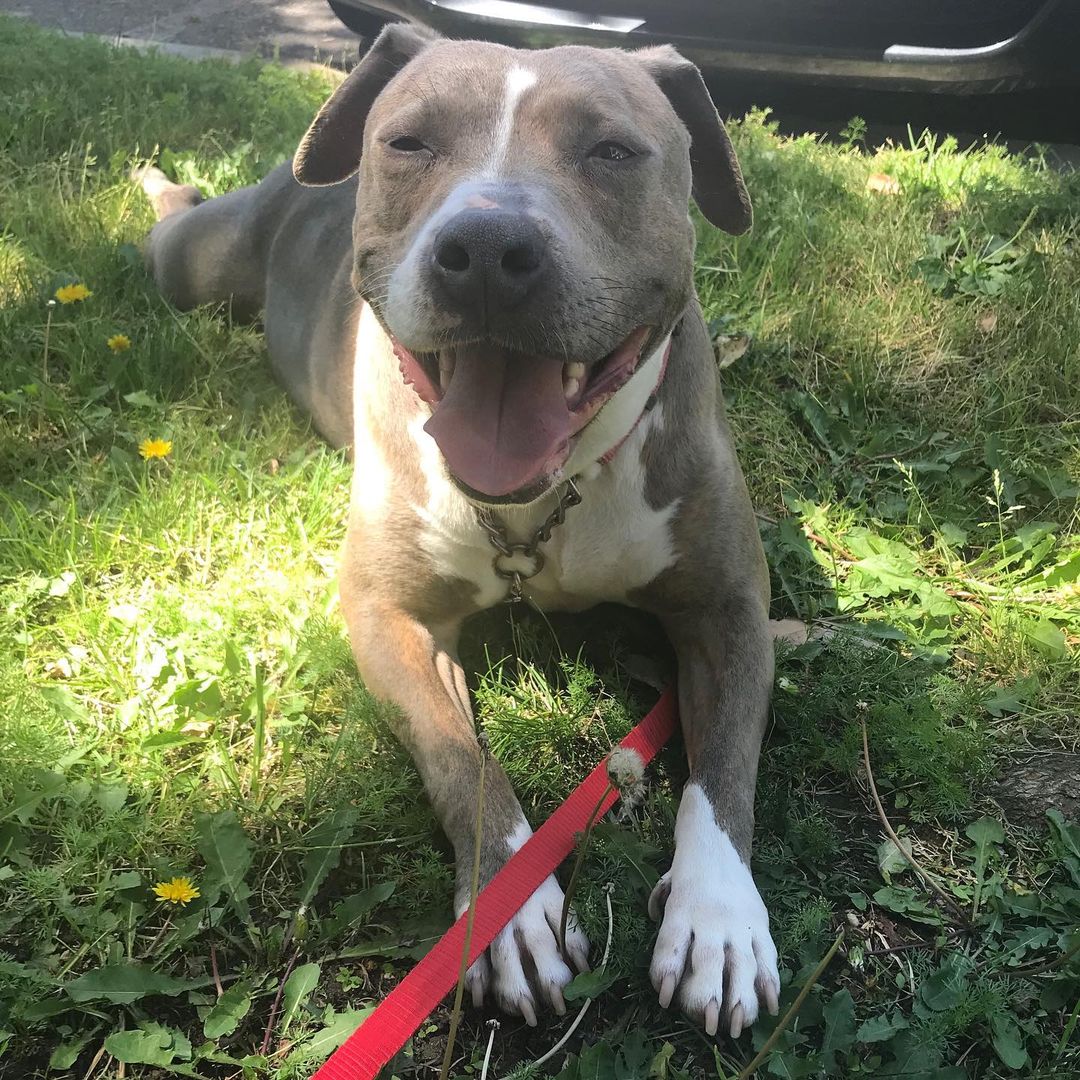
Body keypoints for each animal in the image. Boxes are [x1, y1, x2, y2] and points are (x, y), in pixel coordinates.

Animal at [143, 23, 781, 1036]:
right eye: (409, 142)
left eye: (613, 151)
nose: (485, 246)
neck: (545, 498)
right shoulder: (387, 616)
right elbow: (460, 759)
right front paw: (508, 912)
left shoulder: (731, 614)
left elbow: (722, 774)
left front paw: (717, 917)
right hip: (189, 266)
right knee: (174, 222)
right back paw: (157, 177)